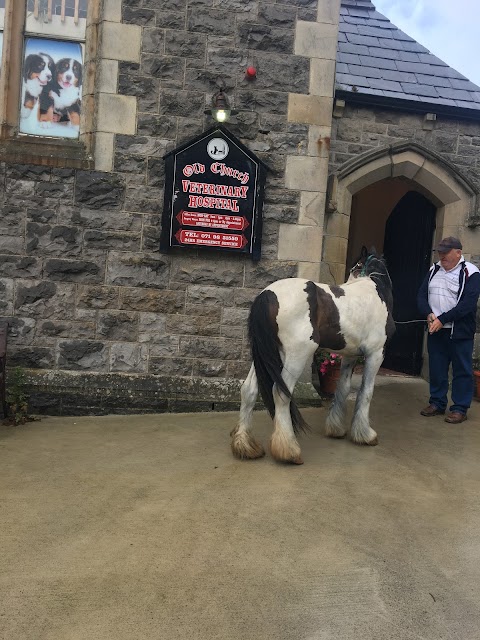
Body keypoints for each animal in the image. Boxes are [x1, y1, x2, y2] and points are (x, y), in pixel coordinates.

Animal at [232, 246, 394, 464]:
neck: (374, 290)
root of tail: (268, 294)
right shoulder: (376, 354)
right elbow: (366, 392)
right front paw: (366, 435)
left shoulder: (349, 356)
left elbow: (342, 388)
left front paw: (336, 429)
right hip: (296, 355)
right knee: (280, 393)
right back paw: (289, 451)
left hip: (267, 356)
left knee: (249, 390)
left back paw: (246, 446)